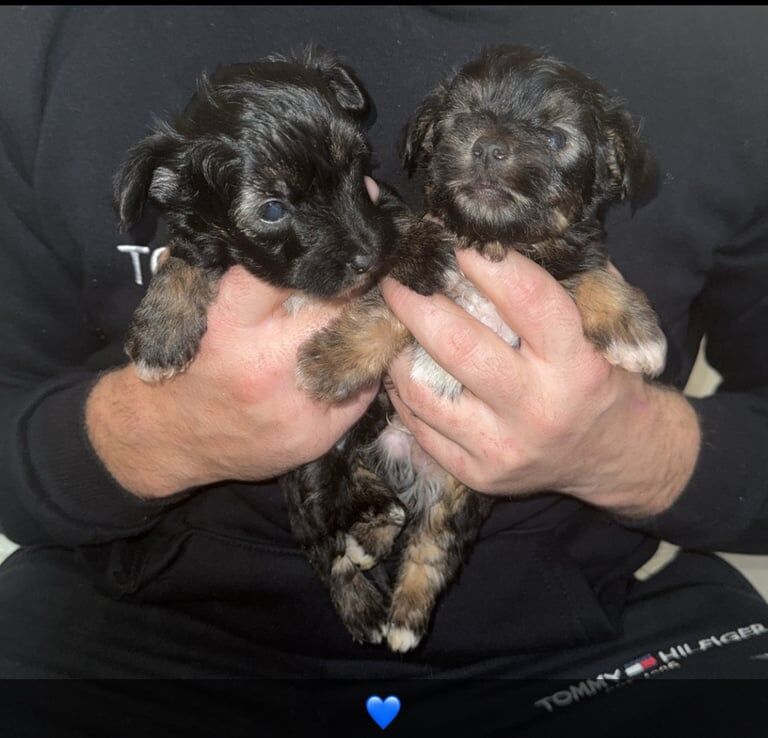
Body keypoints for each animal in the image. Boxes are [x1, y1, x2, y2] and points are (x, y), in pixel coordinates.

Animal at [300, 44, 664, 648]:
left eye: (555, 137)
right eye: (460, 120)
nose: (489, 145)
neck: (496, 241)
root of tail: (406, 468)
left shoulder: (567, 260)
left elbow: (592, 276)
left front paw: (632, 329)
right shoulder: (419, 265)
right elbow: (382, 313)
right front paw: (332, 361)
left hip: (458, 496)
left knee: (428, 547)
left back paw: (402, 610)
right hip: (343, 451)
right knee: (333, 533)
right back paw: (362, 561)